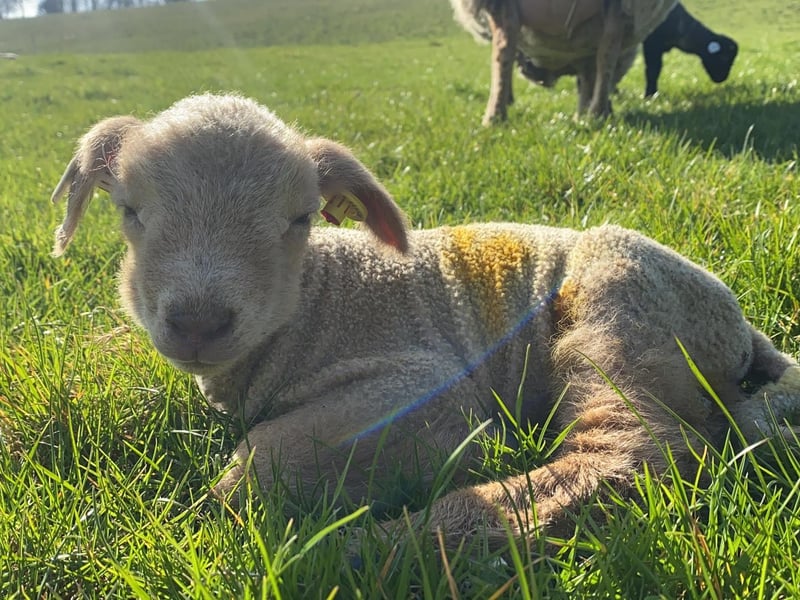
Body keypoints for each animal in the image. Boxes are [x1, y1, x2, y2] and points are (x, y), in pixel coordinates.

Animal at [51, 93, 800, 548]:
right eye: (129, 210)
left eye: (300, 218)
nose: (199, 322)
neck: (318, 302)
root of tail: (738, 326)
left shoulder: (422, 386)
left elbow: (260, 462)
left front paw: (215, 515)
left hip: (620, 310)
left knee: (636, 453)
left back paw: (386, 547)